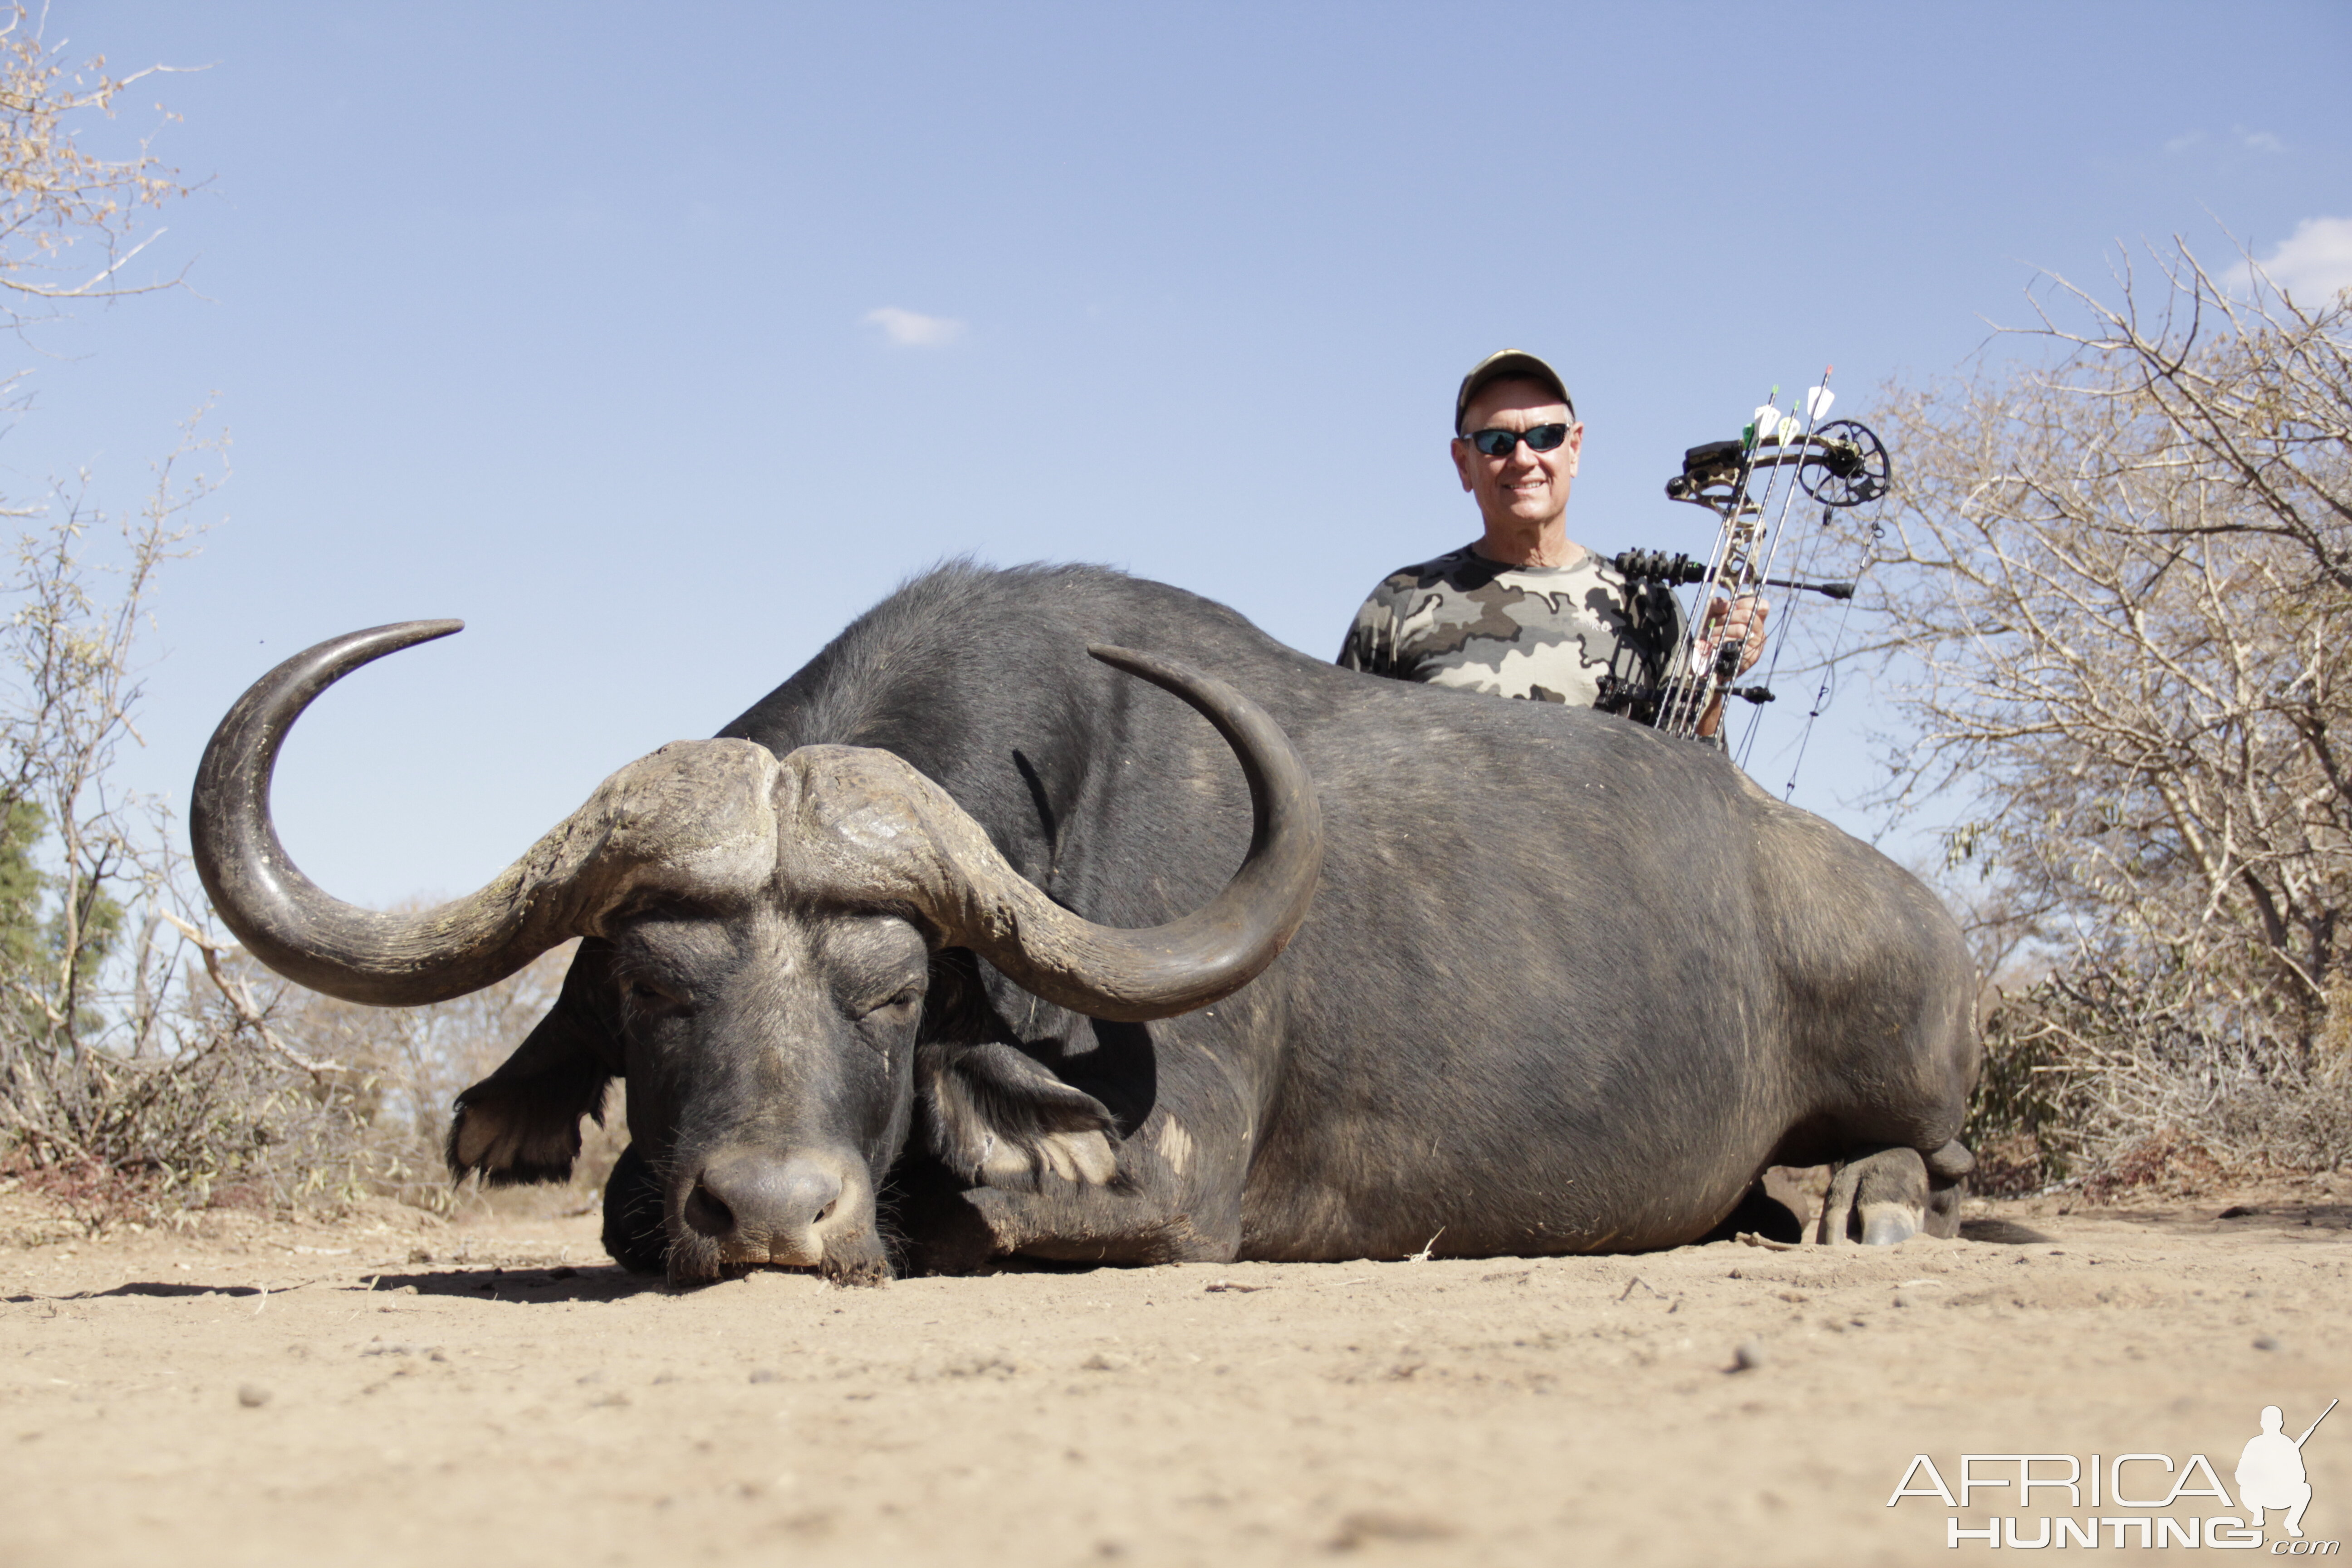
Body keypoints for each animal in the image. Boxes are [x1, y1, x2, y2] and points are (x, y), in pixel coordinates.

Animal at [193, 564, 1975, 1288]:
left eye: (897, 991)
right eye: (648, 986)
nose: (767, 1212)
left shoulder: (1170, 1184)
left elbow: (963, 1214)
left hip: (1915, 1055)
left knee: (1936, 1162)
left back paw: (1865, 1202)